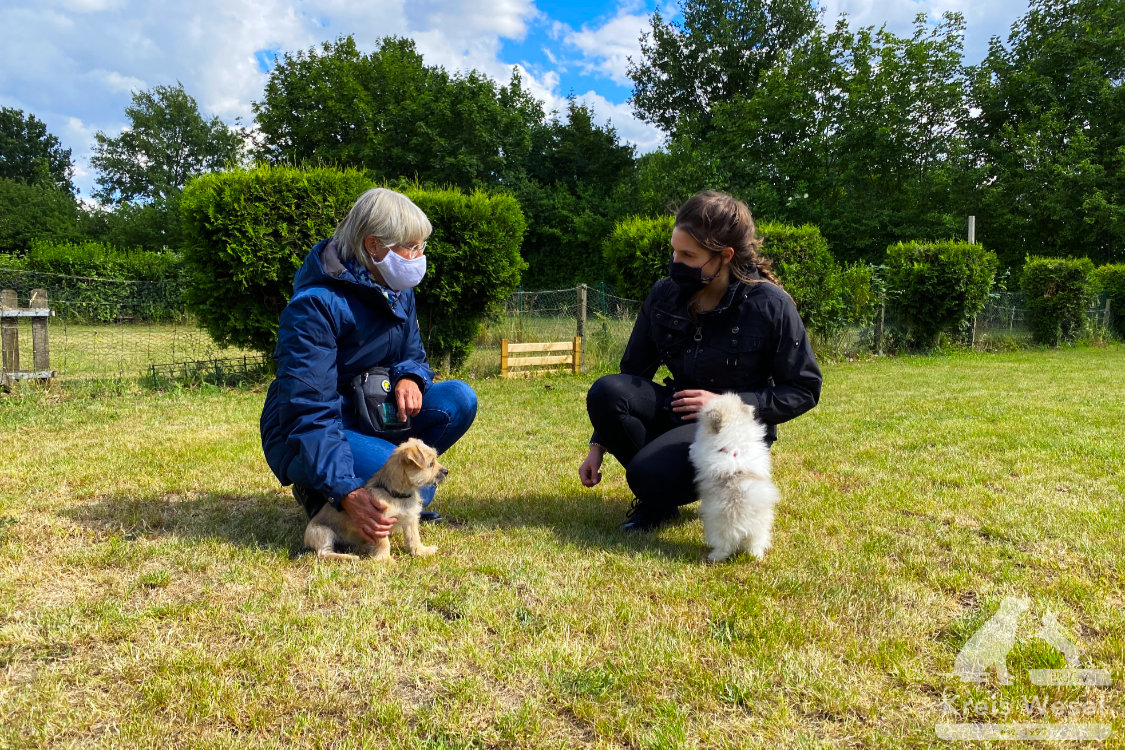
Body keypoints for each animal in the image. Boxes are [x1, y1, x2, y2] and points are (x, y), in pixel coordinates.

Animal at [308, 436, 452, 559]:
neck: (397, 495)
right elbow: (384, 542)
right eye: (430, 464)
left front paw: (421, 551)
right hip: (323, 532)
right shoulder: (379, 523)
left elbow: (413, 538)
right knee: (323, 554)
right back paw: (349, 557)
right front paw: (385, 559)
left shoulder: (410, 519)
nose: (446, 471)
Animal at [684, 395, 783, 559]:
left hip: (718, 530)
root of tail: (744, 523)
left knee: (724, 547)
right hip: (759, 530)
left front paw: (690, 448)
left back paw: (714, 556)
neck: (734, 442)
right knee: (755, 544)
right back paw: (756, 556)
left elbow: (696, 449)